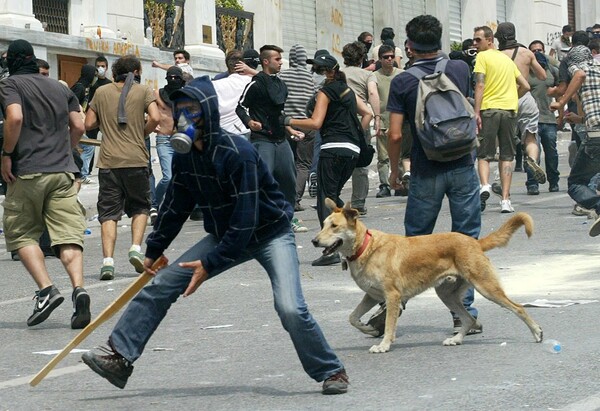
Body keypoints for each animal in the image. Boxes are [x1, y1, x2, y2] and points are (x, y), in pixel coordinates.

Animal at [314, 200, 544, 354]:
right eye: (323, 224)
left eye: (334, 226)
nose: (314, 241)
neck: (365, 246)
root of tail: (473, 242)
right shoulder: (372, 296)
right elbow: (352, 317)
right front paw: (367, 328)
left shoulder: (392, 296)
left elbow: (389, 326)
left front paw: (383, 345)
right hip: (447, 294)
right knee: (469, 319)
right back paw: (456, 339)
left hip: (486, 287)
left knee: (518, 308)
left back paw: (536, 332)